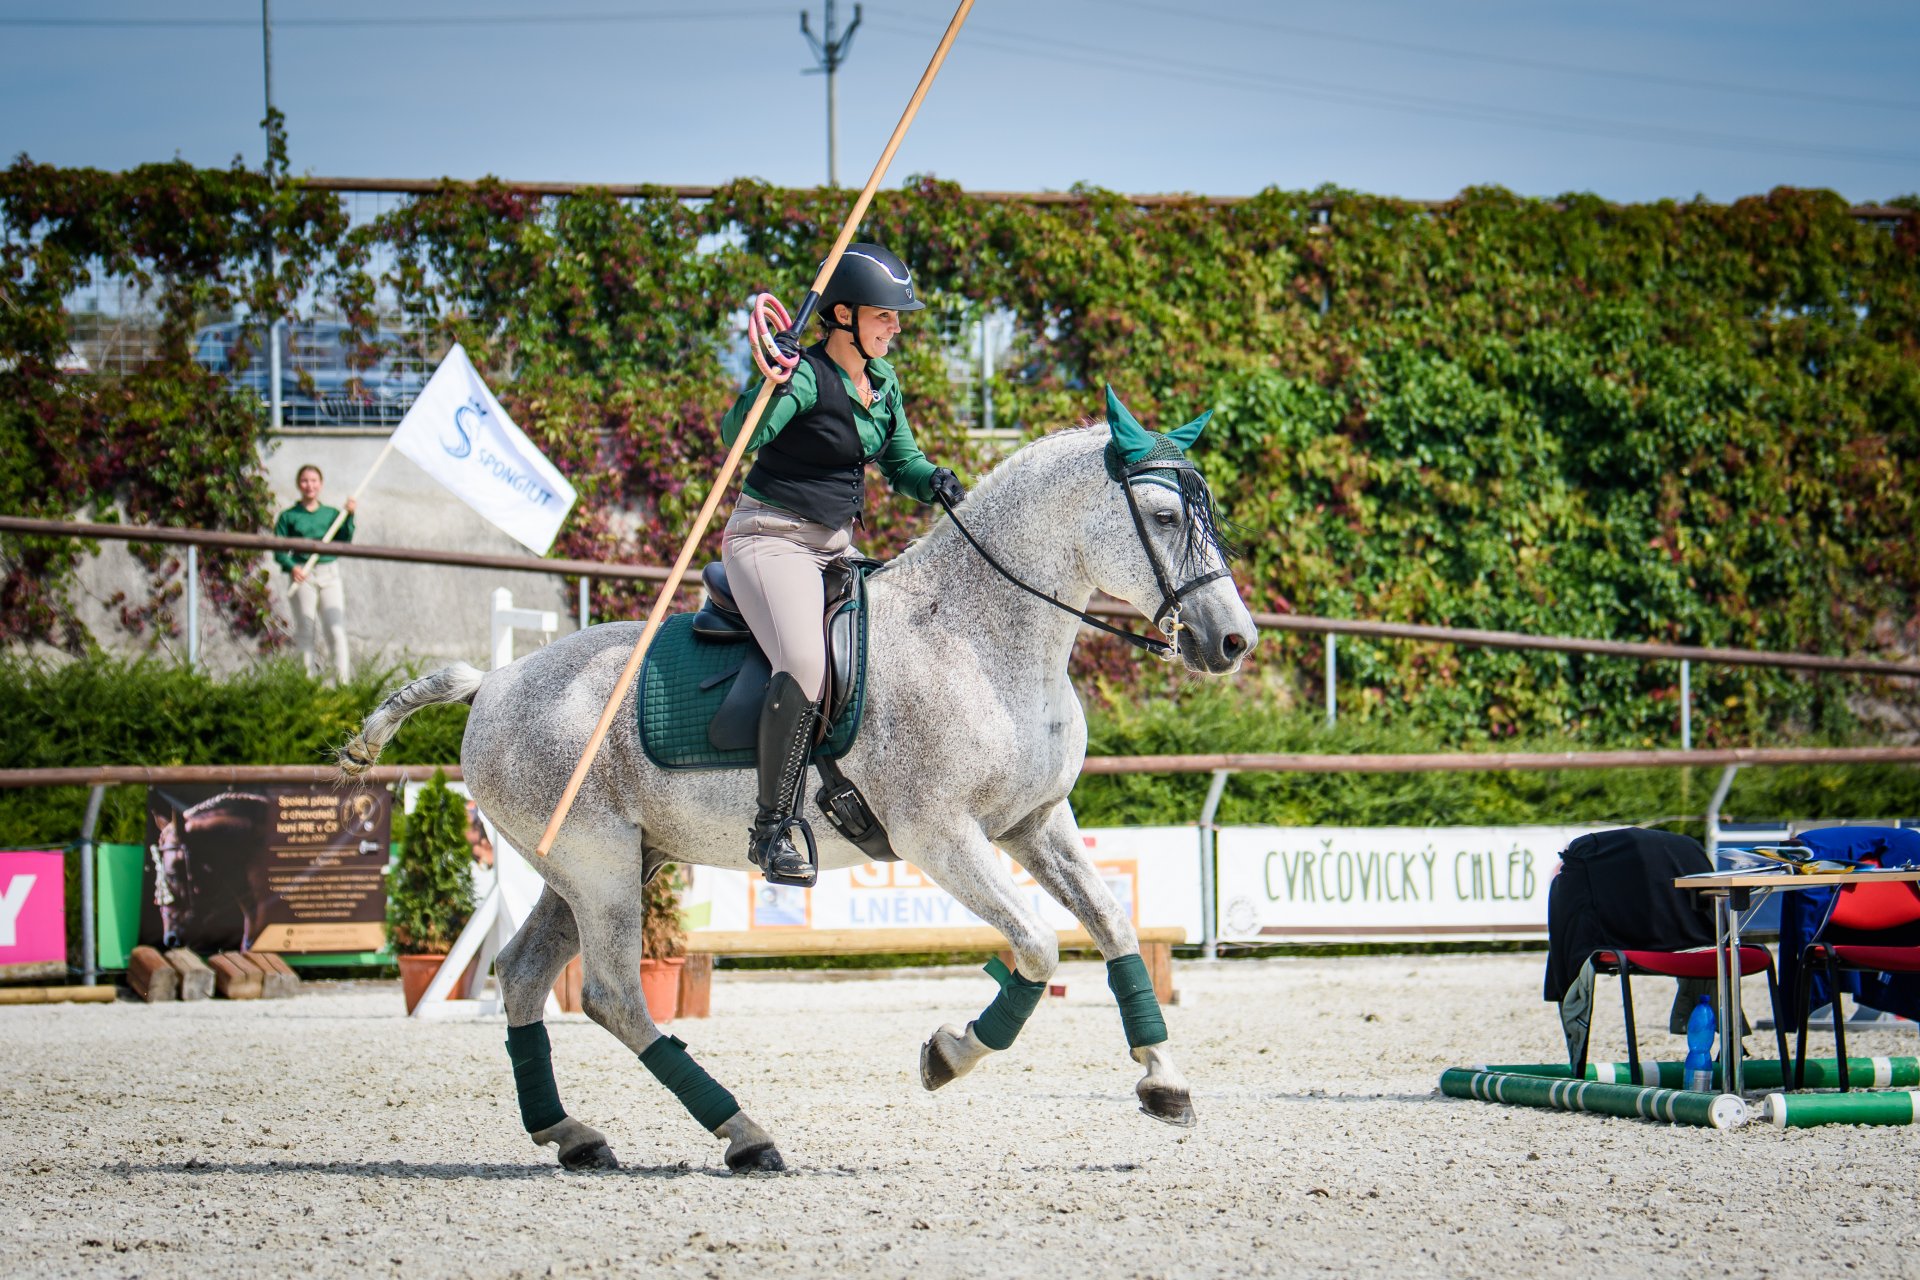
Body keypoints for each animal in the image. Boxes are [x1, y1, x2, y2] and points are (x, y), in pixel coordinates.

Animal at [345, 401, 1259, 1174]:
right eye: (1166, 518)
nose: (1232, 642)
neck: (978, 637)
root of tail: (494, 683)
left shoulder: (1033, 822)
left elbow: (1111, 923)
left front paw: (1163, 1080)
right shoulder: (938, 834)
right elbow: (1036, 945)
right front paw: (948, 1054)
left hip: (606, 864)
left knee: (526, 974)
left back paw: (571, 1134)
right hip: (597, 866)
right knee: (612, 997)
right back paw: (745, 1134)